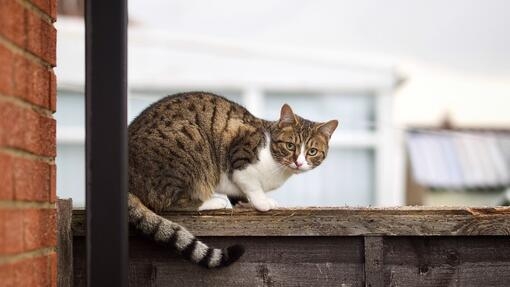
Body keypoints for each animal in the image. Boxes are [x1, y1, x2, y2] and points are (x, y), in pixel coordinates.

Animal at [126, 91, 338, 268]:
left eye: (312, 151)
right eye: (290, 146)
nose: (298, 162)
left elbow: (241, 193)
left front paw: (245, 203)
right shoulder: (240, 155)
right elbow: (252, 184)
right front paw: (263, 203)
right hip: (189, 150)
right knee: (172, 203)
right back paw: (213, 202)